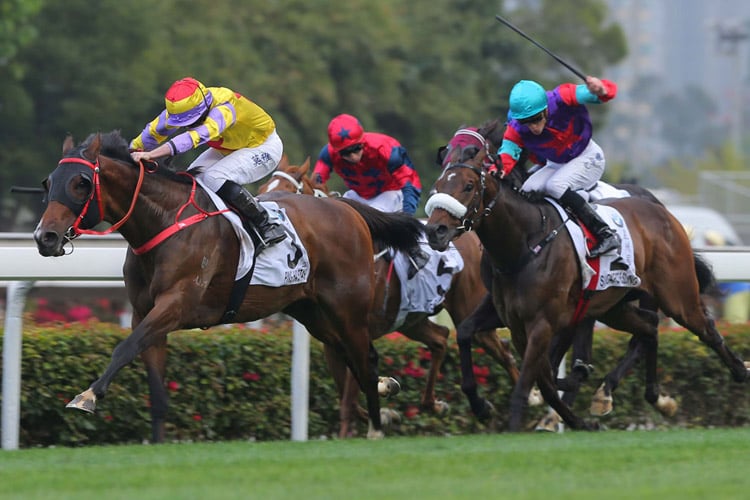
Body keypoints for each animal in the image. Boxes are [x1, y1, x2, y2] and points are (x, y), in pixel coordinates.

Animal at [32, 131, 426, 440]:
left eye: (81, 183)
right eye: (47, 183)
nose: (44, 237)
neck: (165, 221)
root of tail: (348, 210)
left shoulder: (175, 305)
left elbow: (123, 349)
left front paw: (86, 396)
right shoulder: (145, 313)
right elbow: (154, 387)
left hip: (348, 309)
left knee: (365, 359)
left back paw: (376, 424)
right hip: (314, 313)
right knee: (350, 359)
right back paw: (385, 399)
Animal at [262, 154, 532, 436]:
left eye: (287, 192)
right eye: (262, 188)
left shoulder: (357, 331)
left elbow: (350, 395)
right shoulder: (332, 342)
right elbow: (349, 395)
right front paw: (386, 411)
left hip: (464, 308)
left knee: (499, 349)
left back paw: (529, 400)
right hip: (411, 319)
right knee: (440, 338)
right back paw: (436, 404)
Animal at [424, 146, 750, 432]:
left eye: (468, 186)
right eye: (438, 185)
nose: (434, 231)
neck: (525, 243)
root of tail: (663, 212)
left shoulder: (543, 323)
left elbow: (535, 376)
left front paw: (518, 424)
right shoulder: (511, 318)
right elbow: (472, 336)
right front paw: (486, 407)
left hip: (676, 296)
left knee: (706, 328)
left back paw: (740, 371)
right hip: (614, 307)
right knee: (649, 327)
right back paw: (650, 396)